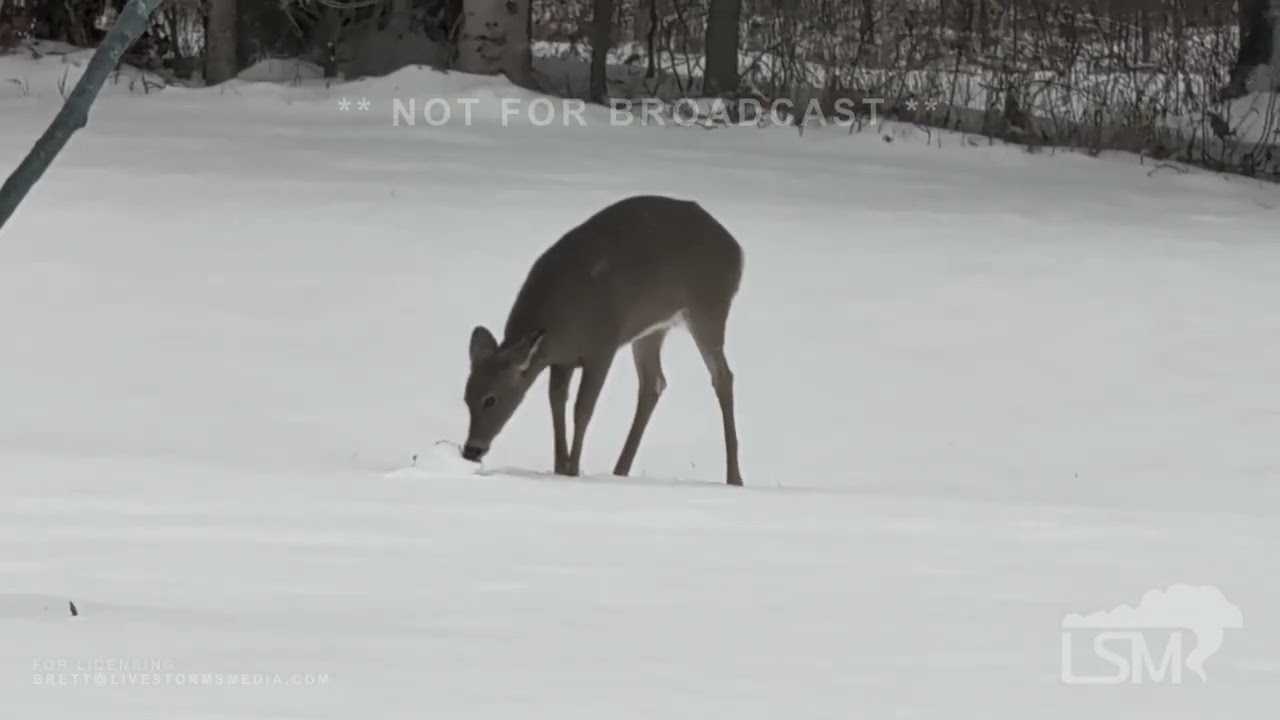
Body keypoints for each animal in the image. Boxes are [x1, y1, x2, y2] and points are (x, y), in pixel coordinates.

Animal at [460, 194, 745, 486]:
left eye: (490, 399)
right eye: (466, 398)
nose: (471, 449)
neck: (560, 322)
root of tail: (736, 249)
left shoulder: (602, 346)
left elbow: (583, 409)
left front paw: (572, 470)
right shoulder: (561, 360)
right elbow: (556, 403)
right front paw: (560, 467)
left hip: (709, 306)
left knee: (722, 376)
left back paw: (734, 478)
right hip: (652, 329)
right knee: (653, 382)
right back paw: (620, 470)